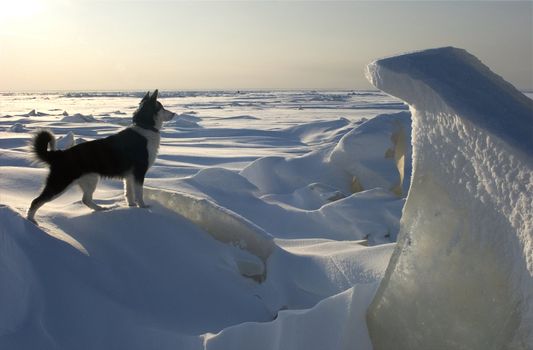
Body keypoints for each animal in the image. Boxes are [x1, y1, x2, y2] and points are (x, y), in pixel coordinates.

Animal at [27, 89, 175, 223]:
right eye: (161, 108)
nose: (174, 113)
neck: (145, 127)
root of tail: (59, 154)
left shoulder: (129, 176)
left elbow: (129, 193)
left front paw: (132, 206)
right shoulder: (139, 172)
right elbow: (139, 193)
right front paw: (143, 207)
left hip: (90, 179)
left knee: (86, 200)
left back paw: (100, 209)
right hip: (60, 184)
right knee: (36, 201)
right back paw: (31, 222)